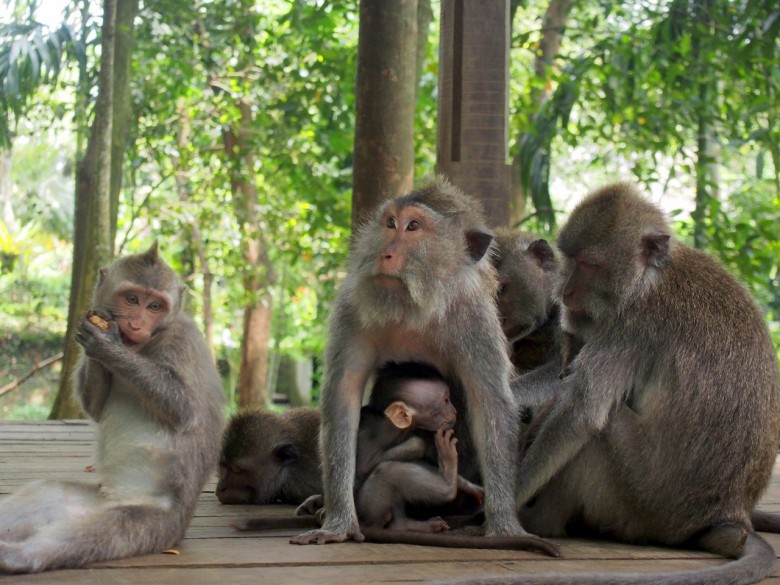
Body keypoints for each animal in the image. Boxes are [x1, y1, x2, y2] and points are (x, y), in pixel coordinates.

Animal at [0, 243, 225, 576]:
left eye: (155, 306)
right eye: (132, 299)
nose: (136, 324)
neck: (143, 344)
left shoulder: (183, 342)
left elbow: (185, 409)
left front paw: (105, 345)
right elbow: (95, 408)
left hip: (153, 526)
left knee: (104, 529)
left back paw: (19, 556)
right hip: (90, 500)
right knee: (46, 492)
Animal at [290, 176, 548, 548]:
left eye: (414, 227)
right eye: (390, 223)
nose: (385, 253)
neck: (415, 305)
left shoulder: (475, 321)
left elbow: (491, 404)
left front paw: (503, 524)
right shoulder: (353, 307)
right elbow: (344, 395)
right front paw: (338, 521)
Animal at [444, 182, 780, 584]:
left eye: (589, 264)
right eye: (571, 260)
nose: (568, 293)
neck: (648, 277)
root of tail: (731, 513)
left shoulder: (629, 323)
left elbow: (581, 412)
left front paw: (500, 508)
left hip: (645, 502)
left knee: (599, 429)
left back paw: (540, 520)